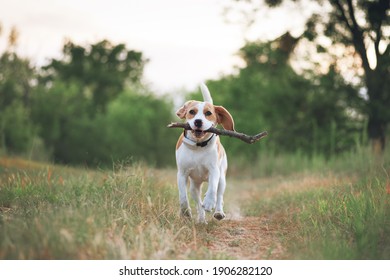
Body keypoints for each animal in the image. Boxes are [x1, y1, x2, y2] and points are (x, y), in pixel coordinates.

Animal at [174, 83, 235, 223]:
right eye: (192, 112)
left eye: (208, 113)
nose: (198, 121)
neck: (198, 147)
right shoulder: (182, 173)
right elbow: (182, 196)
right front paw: (185, 212)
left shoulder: (214, 170)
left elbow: (212, 188)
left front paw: (209, 202)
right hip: (194, 187)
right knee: (197, 202)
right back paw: (201, 219)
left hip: (222, 179)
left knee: (219, 195)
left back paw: (218, 212)